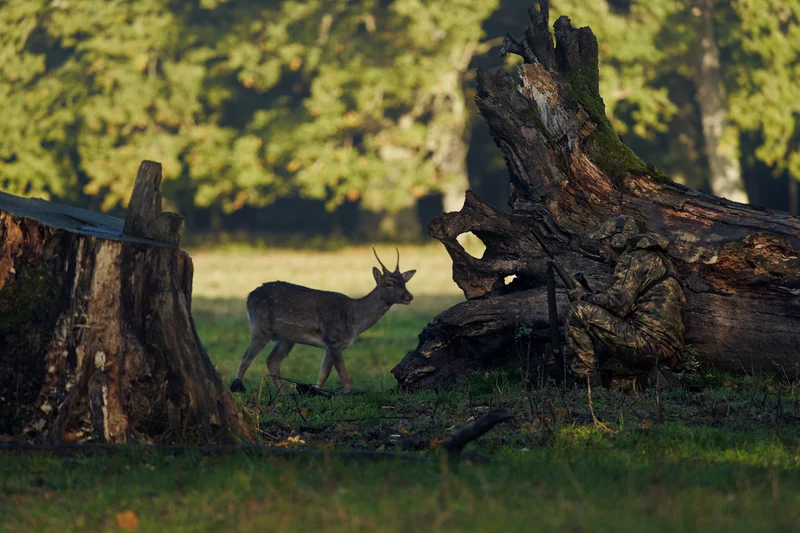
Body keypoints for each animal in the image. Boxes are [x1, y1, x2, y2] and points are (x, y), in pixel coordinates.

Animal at [229, 248, 416, 394]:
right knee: (246, 358)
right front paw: (347, 393)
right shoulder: (334, 340)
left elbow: (323, 374)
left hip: (287, 338)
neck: (353, 320)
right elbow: (343, 374)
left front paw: (316, 392)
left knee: (272, 361)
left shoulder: (330, 345)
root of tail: (249, 296)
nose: (409, 296)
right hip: (259, 326)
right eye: (389, 283)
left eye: (404, 282)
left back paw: (283, 393)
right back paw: (238, 388)